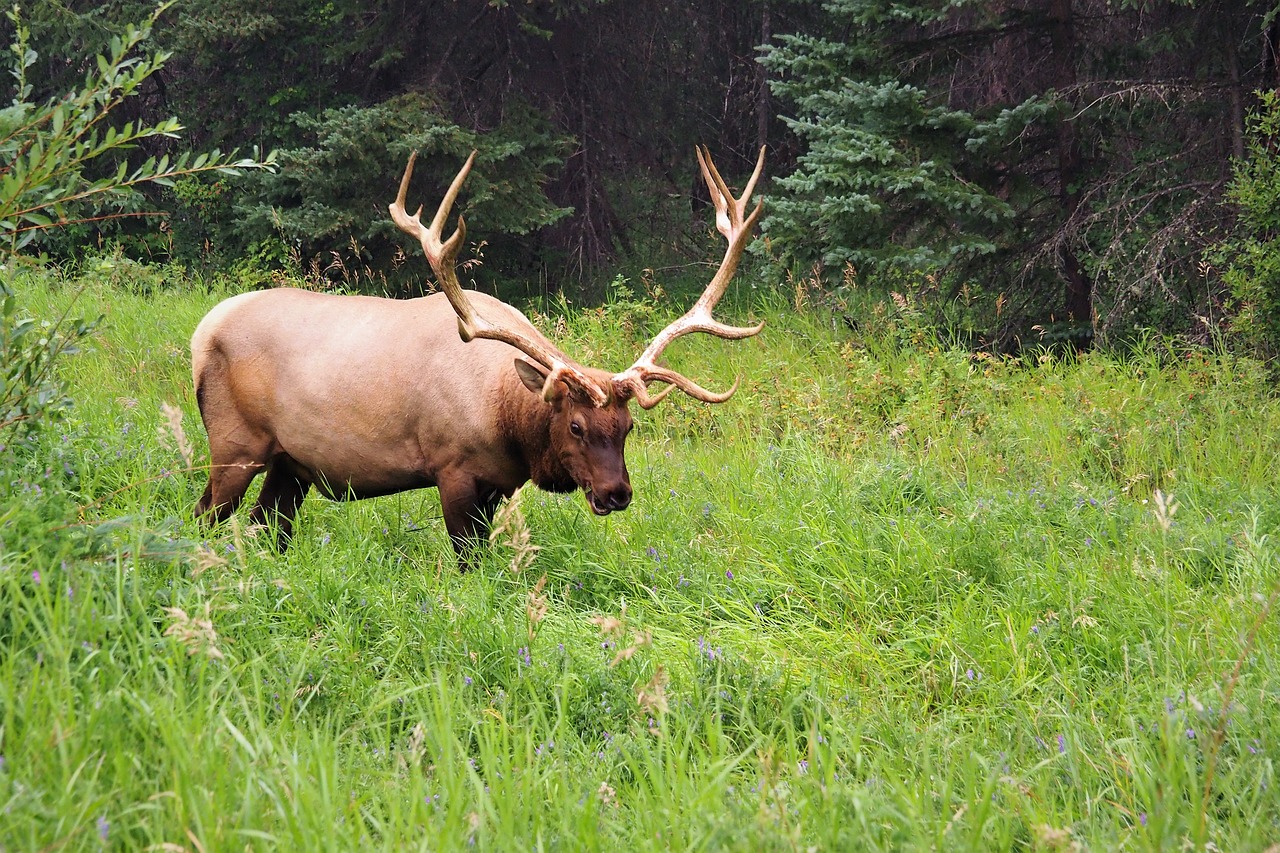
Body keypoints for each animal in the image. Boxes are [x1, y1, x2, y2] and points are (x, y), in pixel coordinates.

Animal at [189, 144, 762, 563]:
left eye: (627, 427)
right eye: (575, 425)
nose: (616, 492)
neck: (508, 422)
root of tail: (201, 333)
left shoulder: (496, 486)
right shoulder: (454, 469)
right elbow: (468, 562)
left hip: (291, 464)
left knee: (268, 528)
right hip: (233, 444)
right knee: (204, 515)